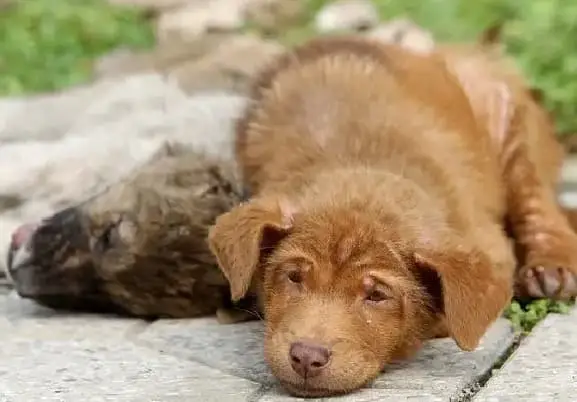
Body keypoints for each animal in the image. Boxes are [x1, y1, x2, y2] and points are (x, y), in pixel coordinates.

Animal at [208, 36, 576, 398]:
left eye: (377, 295)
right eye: (294, 277)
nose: (307, 357)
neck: (362, 164)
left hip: (507, 114)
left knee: (535, 195)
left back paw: (551, 272)